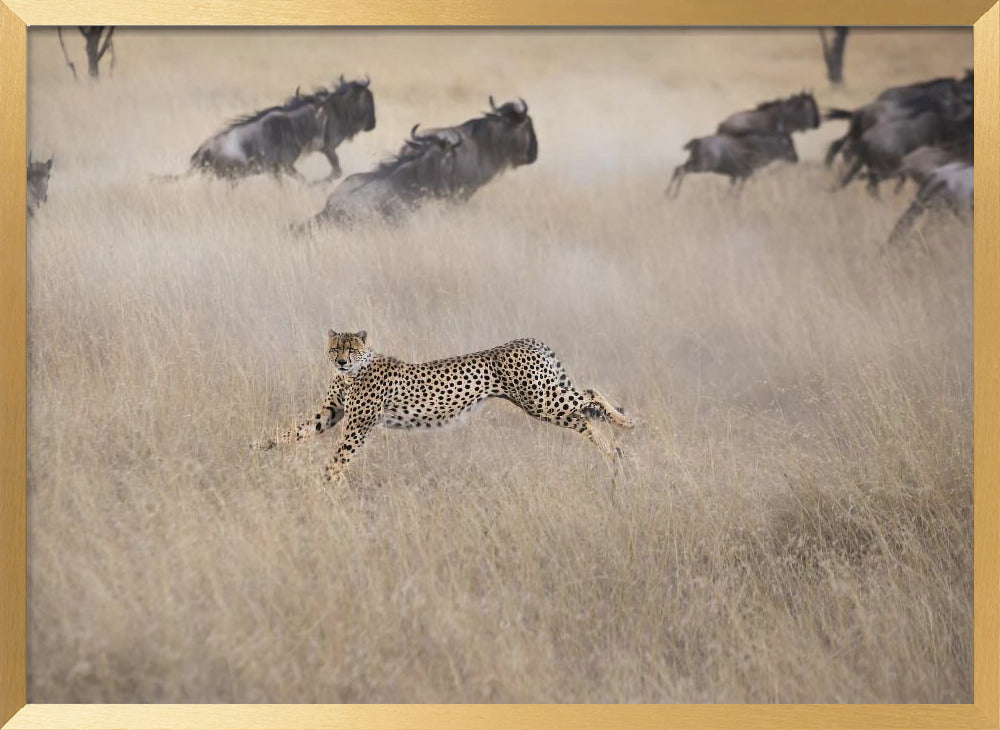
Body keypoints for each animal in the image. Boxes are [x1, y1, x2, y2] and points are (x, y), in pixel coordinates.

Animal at [252, 329, 634, 480]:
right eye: (335, 349)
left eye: (352, 349)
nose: (342, 361)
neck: (351, 374)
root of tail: (524, 340)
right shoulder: (332, 413)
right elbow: (297, 430)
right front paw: (262, 445)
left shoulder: (357, 425)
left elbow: (339, 457)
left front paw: (328, 483)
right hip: (546, 402)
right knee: (585, 417)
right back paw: (614, 451)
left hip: (542, 400)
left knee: (590, 395)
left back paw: (626, 425)